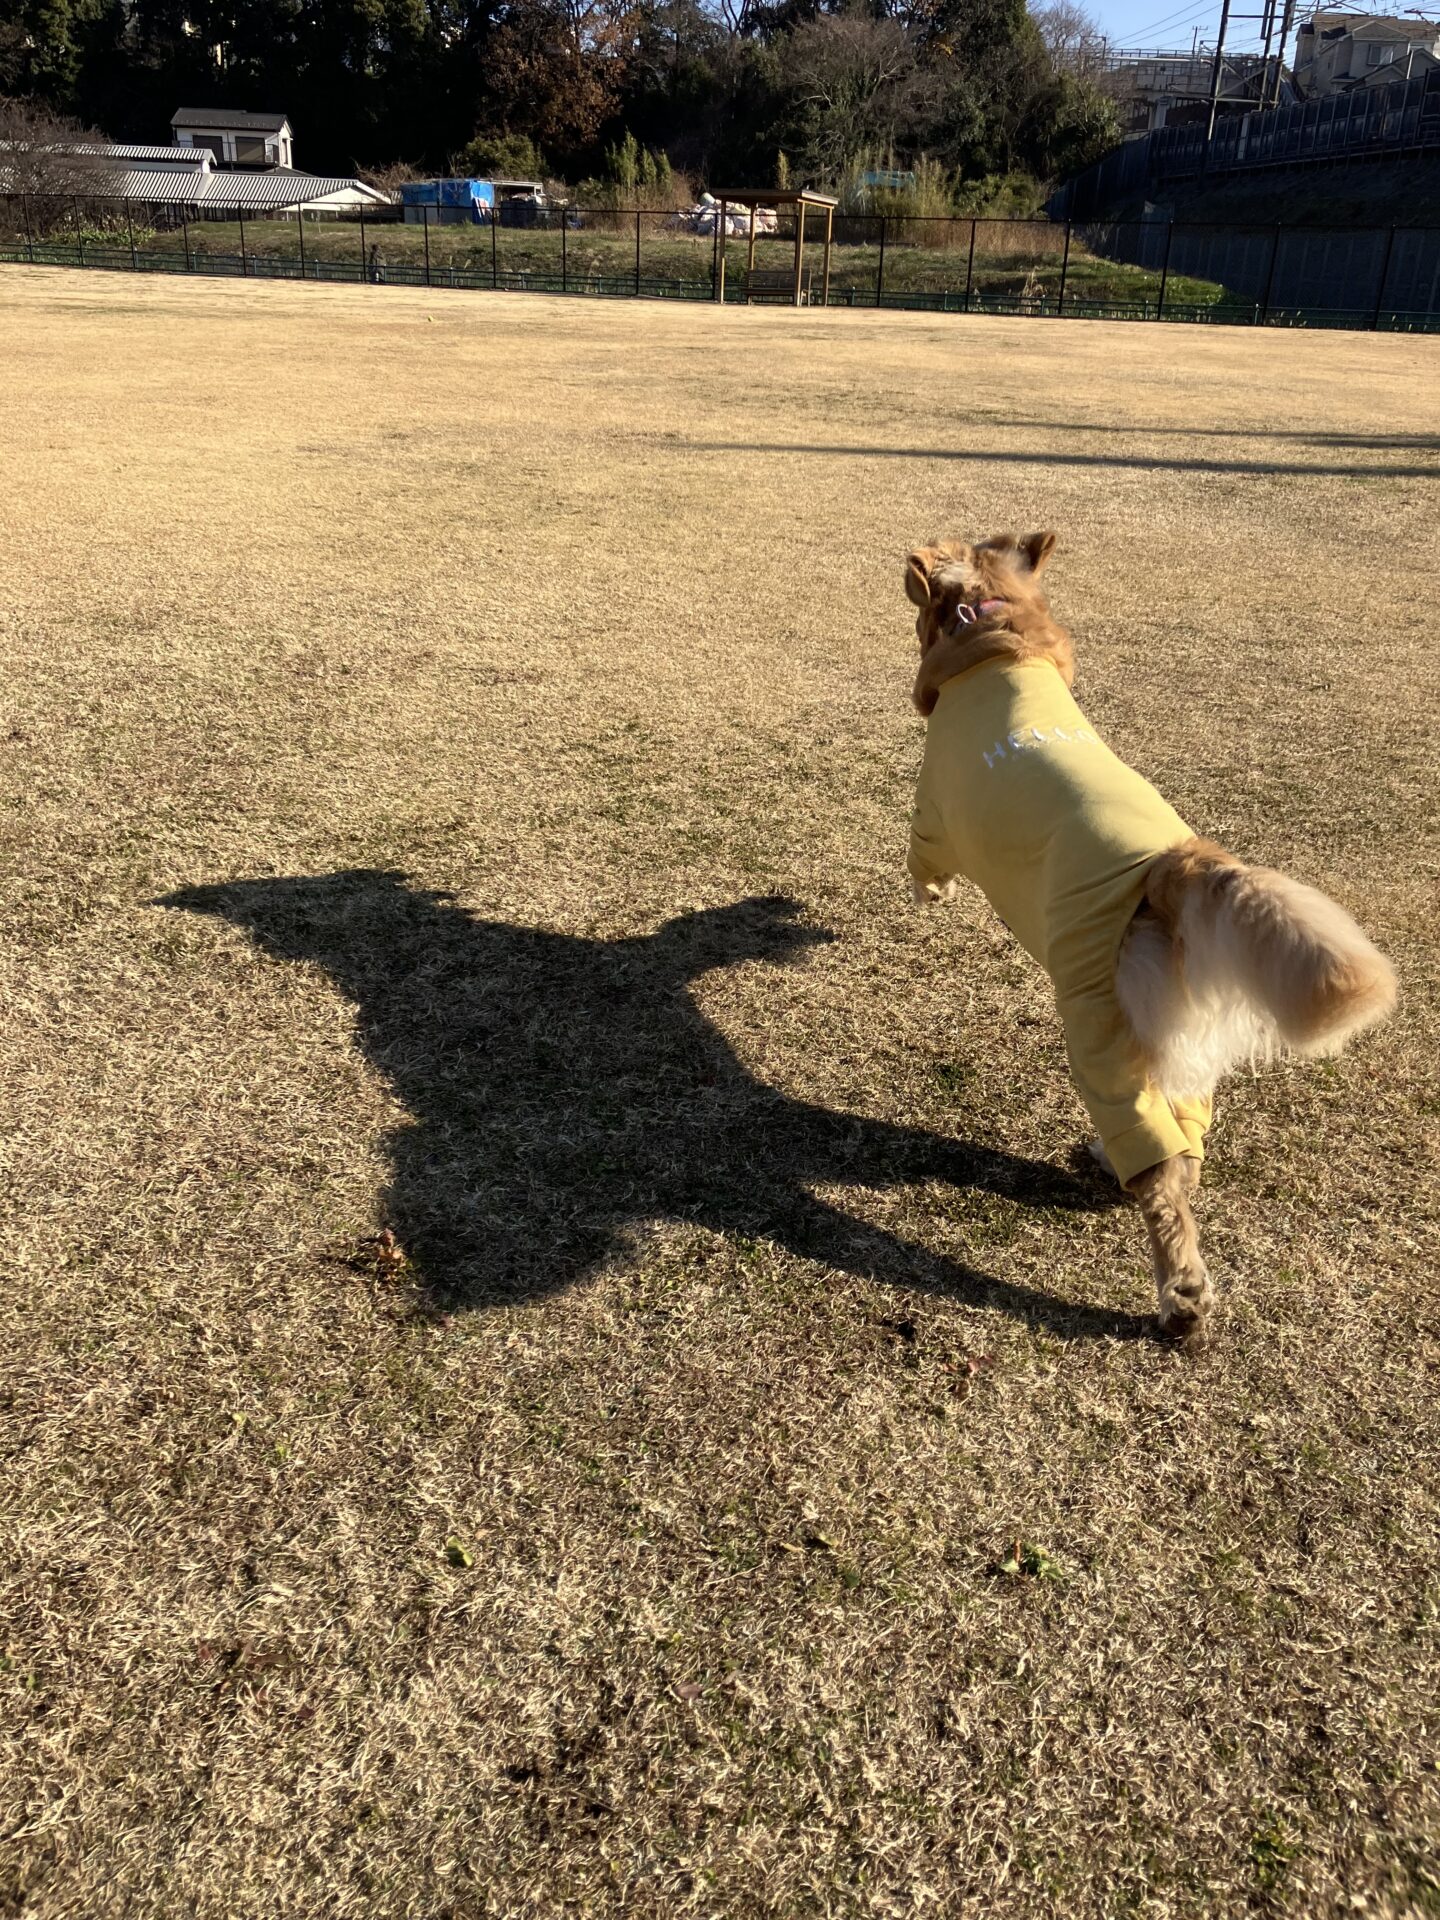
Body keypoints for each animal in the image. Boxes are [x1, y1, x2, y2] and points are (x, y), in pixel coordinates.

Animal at [903, 530, 1396, 1348]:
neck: (997, 634)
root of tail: (1178, 863)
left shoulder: (932, 812)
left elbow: (922, 859)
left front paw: (926, 895)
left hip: (1097, 1025)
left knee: (1160, 1175)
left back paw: (1180, 1296)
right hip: (1173, 1038)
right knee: (1182, 1147)